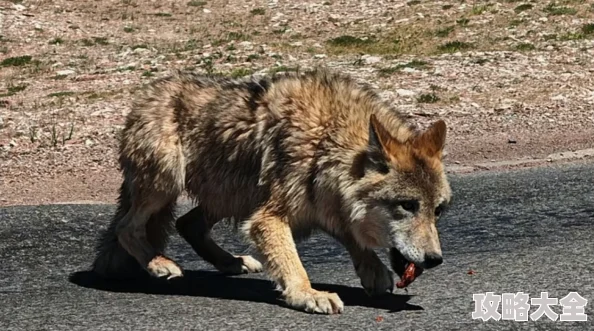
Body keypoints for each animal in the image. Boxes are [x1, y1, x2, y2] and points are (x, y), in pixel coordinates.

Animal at [91, 68, 448, 316]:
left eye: (438, 210)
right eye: (407, 205)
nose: (435, 260)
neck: (327, 140)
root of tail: (143, 97)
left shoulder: (324, 204)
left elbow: (352, 237)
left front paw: (372, 271)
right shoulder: (268, 218)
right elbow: (293, 264)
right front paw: (309, 295)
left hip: (232, 194)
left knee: (186, 223)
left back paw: (231, 262)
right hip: (168, 180)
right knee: (126, 227)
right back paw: (158, 263)